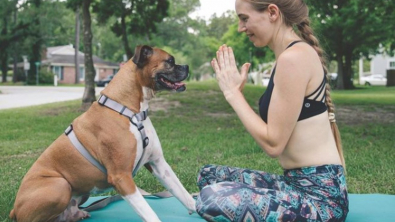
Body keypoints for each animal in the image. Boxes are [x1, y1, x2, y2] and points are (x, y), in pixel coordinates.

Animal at [11, 45, 198, 222]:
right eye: (170, 61)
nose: (187, 66)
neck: (131, 112)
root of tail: (14, 209)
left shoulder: (158, 164)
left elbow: (183, 194)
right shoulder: (121, 177)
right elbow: (148, 212)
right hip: (60, 184)